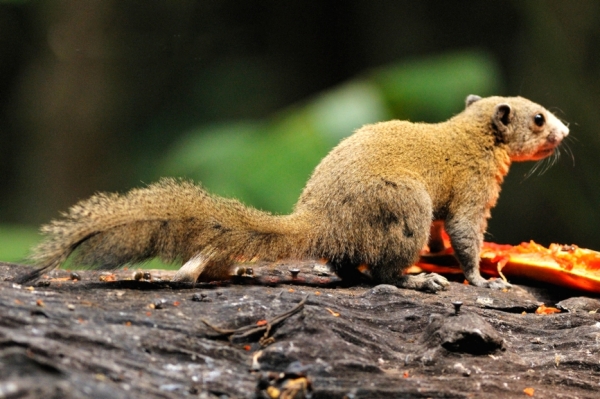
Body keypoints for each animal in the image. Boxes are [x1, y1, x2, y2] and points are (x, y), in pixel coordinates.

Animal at [14, 95, 568, 292]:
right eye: (538, 117)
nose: (565, 132)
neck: (472, 134)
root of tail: (317, 219)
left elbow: (441, 234)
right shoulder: (472, 190)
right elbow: (465, 235)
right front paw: (479, 279)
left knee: (347, 266)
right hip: (405, 205)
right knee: (378, 273)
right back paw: (416, 280)